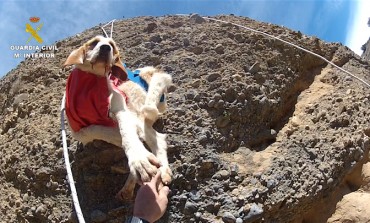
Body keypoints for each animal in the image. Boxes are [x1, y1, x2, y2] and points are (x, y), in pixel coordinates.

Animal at [64, 35, 173, 200]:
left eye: (112, 45)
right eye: (94, 42)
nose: (105, 48)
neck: (92, 83)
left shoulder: (120, 105)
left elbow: (125, 134)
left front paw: (139, 159)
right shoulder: (77, 129)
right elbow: (95, 130)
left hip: (136, 106)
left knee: (156, 138)